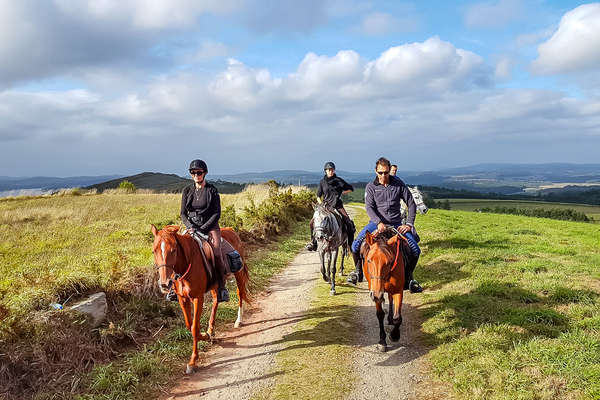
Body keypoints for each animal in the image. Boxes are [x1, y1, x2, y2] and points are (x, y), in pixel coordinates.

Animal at [152, 223, 253, 374]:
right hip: (216, 284)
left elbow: (194, 328)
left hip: (238, 274)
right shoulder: (182, 299)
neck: (186, 263)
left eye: (174, 250)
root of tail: (231, 230)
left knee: (240, 293)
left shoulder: (197, 298)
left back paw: (238, 321)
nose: (165, 283)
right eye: (154, 251)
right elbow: (189, 325)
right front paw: (206, 336)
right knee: (216, 300)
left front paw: (193, 361)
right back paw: (211, 329)